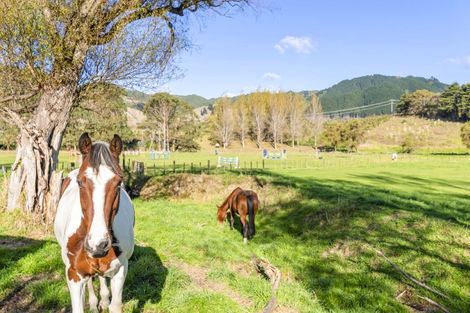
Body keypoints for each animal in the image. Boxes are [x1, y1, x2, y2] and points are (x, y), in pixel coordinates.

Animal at [56, 132, 136, 312]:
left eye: (118, 183)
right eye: (80, 182)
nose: (98, 245)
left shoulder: (120, 271)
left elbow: (115, 305)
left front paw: (106, 301)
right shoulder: (74, 277)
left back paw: (103, 300)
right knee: (91, 282)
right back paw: (93, 304)